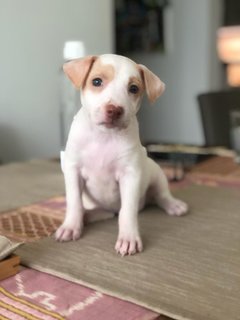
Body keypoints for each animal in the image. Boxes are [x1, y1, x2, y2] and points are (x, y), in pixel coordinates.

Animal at [55, 53, 188, 256]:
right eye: (96, 81)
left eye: (133, 88)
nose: (114, 110)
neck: (103, 137)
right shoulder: (73, 170)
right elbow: (74, 202)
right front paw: (70, 226)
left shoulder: (130, 175)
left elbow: (128, 211)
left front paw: (128, 238)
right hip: (103, 207)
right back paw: (87, 216)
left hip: (157, 175)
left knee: (160, 196)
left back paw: (174, 205)